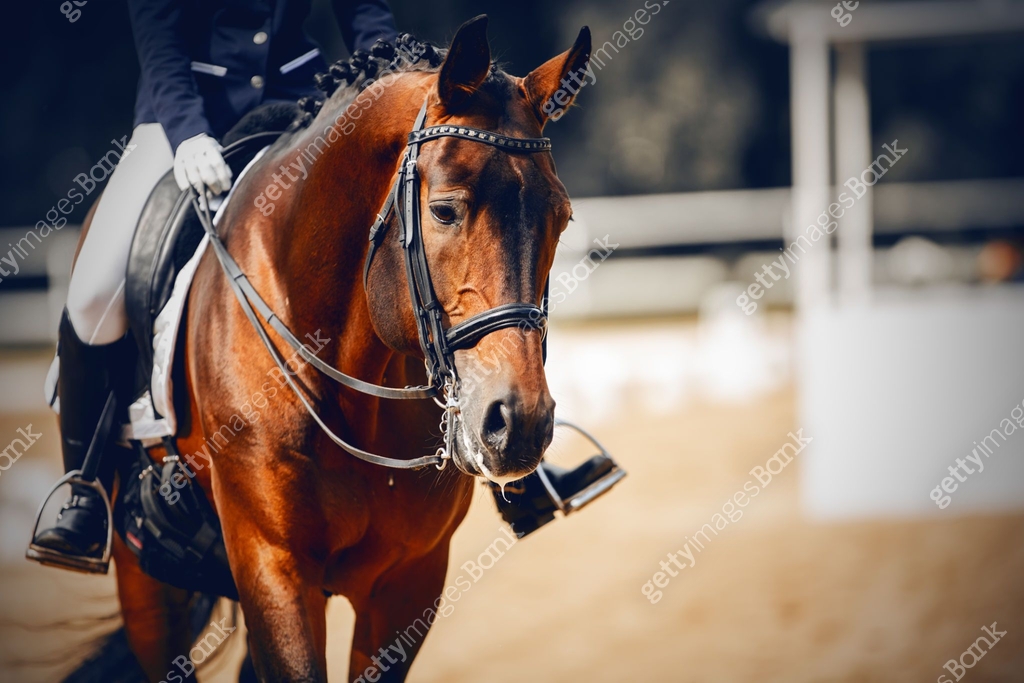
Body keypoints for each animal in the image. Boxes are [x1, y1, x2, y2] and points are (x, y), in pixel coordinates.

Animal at [73, 15, 591, 682]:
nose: (520, 424)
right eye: (444, 211)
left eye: (561, 218)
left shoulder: (410, 581)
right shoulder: (274, 568)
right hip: (146, 580)